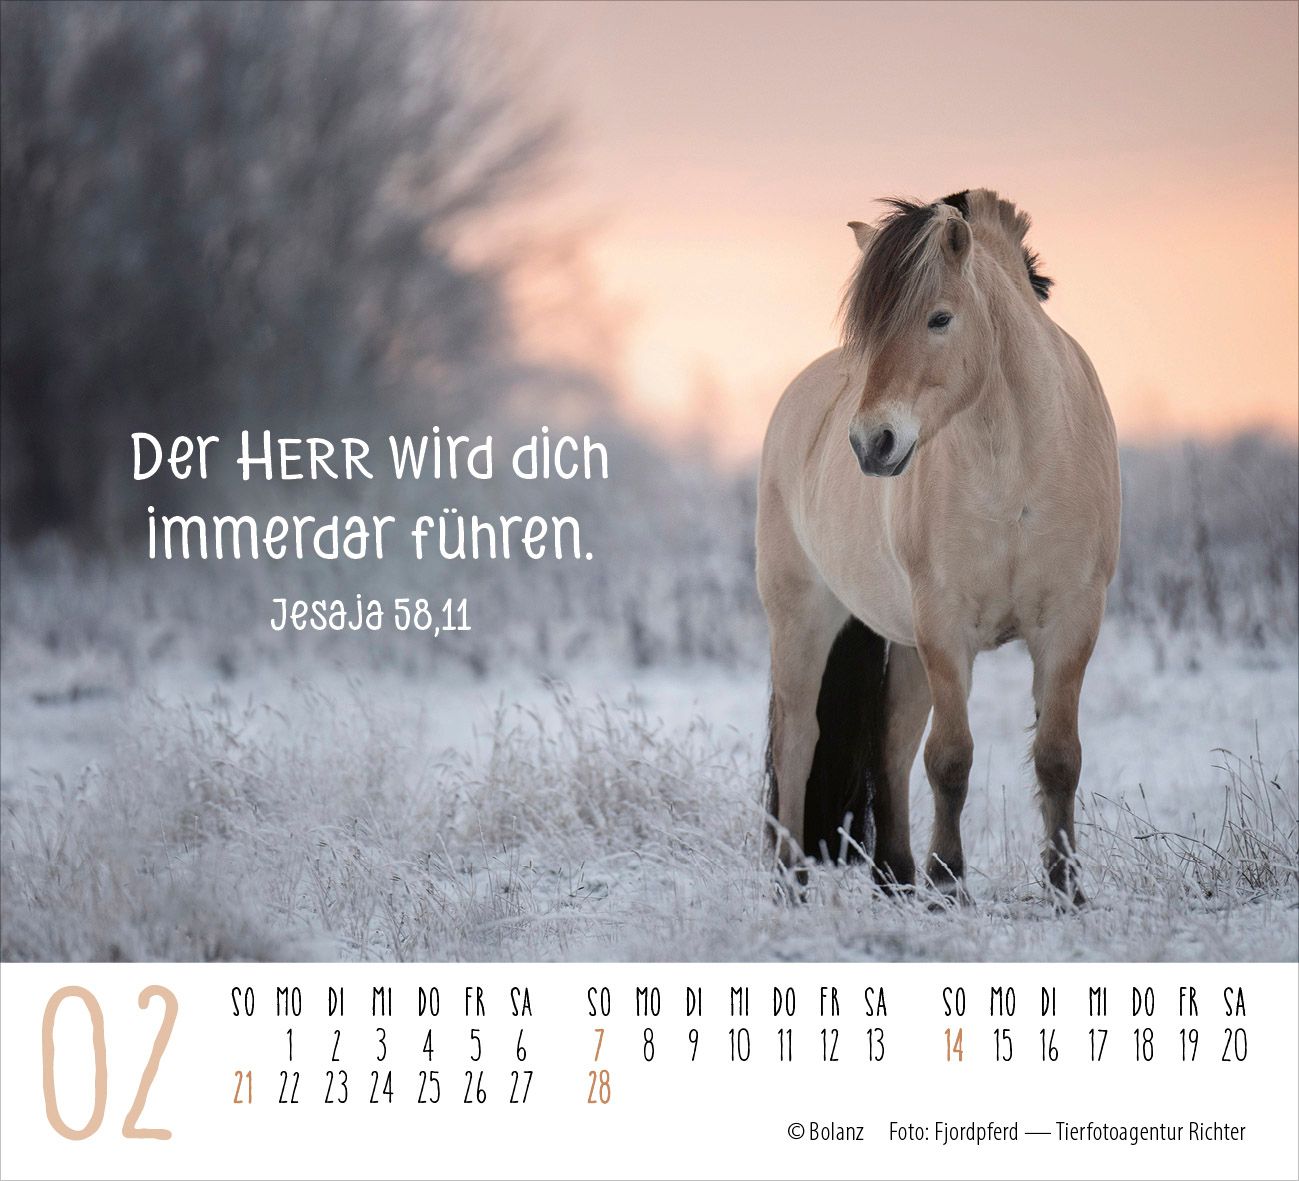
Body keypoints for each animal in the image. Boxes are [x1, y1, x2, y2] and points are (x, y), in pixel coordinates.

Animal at [757, 188, 1120, 906]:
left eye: (939, 319)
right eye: (868, 333)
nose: (871, 442)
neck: (1014, 468)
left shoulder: (1070, 622)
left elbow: (1057, 756)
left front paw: (1065, 888)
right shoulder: (946, 629)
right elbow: (950, 758)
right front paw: (949, 881)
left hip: (902, 642)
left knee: (891, 741)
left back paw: (895, 876)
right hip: (803, 618)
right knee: (799, 738)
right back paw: (792, 880)